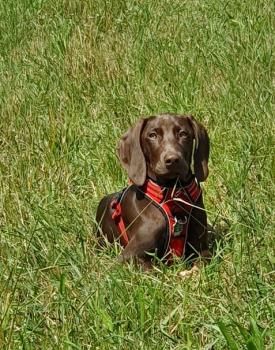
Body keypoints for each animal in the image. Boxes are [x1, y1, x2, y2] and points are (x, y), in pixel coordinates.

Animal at [96, 113, 212, 272]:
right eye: (152, 135)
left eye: (183, 134)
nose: (172, 160)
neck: (172, 195)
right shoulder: (129, 256)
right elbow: (156, 270)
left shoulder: (202, 248)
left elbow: (202, 262)